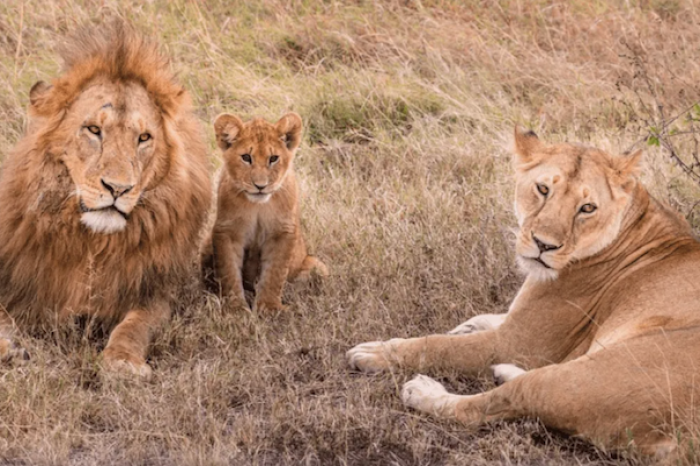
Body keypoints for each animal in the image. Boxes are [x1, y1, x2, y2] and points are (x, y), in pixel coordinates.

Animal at [0, 23, 211, 376]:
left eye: (143, 137)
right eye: (93, 130)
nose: (117, 188)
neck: (94, 244)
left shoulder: (155, 290)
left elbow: (135, 325)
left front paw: (123, 362)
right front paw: (9, 348)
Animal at [202, 113, 328, 314]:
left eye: (273, 158)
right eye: (246, 157)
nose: (260, 186)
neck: (258, 206)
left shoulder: (282, 232)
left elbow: (274, 273)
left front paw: (269, 309)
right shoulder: (227, 231)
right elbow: (229, 271)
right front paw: (235, 309)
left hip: (317, 266)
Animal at [350, 127, 700, 458]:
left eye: (587, 208)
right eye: (543, 189)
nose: (544, 245)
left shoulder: (519, 343)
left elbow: (438, 346)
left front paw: (376, 352)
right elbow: (490, 317)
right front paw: (467, 325)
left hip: (581, 379)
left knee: (484, 408)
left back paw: (424, 390)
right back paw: (502, 371)